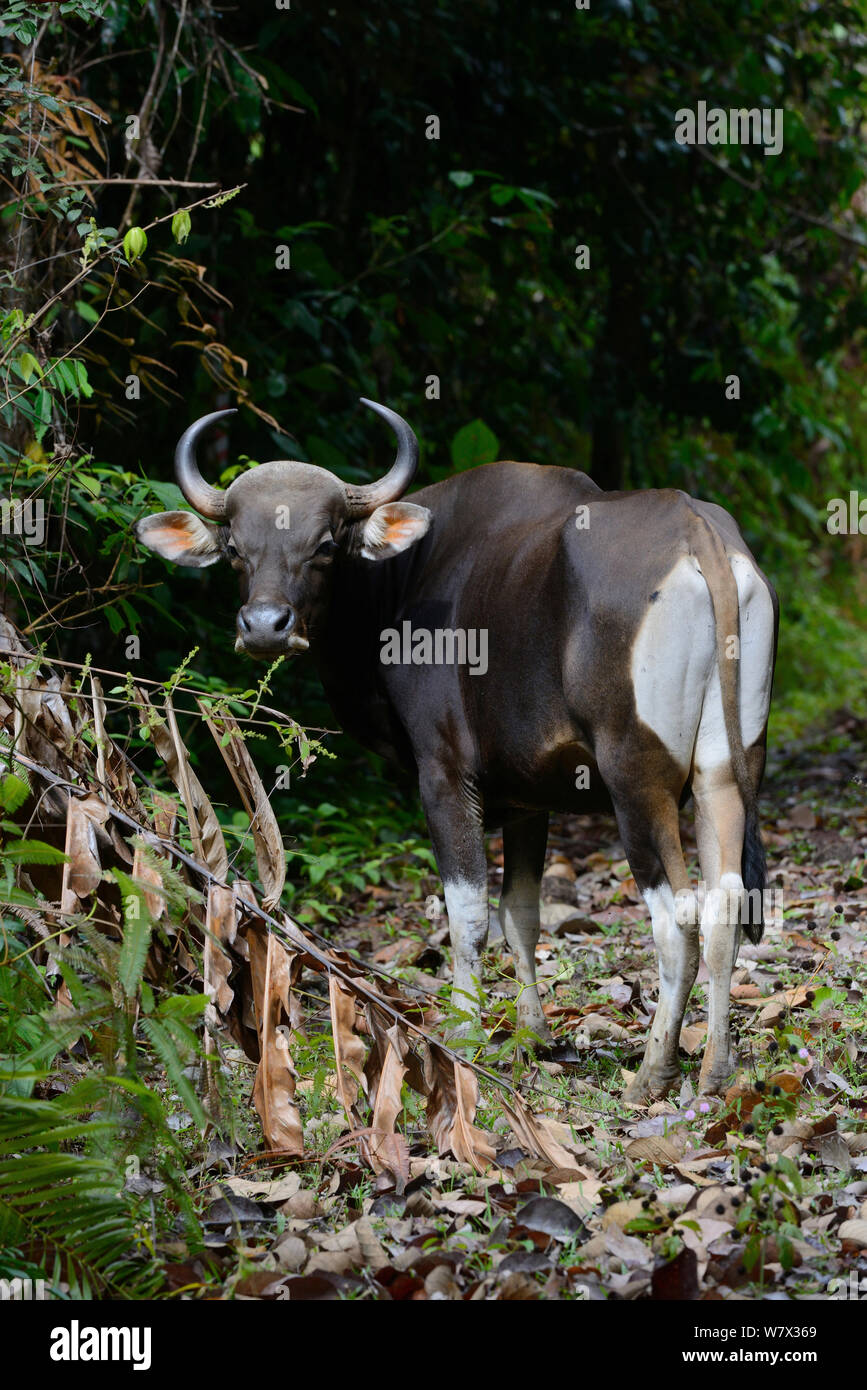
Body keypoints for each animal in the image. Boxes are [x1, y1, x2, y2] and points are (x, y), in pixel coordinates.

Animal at [136, 397, 778, 1100]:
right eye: (233, 548)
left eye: (326, 544)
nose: (264, 626)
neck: (403, 580)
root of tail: (699, 532)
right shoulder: (529, 798)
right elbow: (520, 913)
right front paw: (534, 1036)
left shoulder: (444, 775)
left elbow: (467, 914)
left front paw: (468, 1035)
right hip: (726, 771)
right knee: (725, 906)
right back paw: (715, 1067)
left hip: (637, 779)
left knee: (677, 920)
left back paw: (653, 1072)